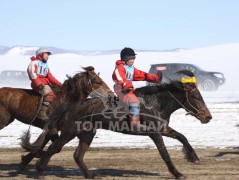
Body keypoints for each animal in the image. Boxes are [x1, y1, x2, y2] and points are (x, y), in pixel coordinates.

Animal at [22, 70, 213, 179]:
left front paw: (194, 157)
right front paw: (178, 173)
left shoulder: (163, 128)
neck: (155, 103)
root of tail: (70, 105)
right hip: (70, 132)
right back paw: (39, 171)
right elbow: (164, 153)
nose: (208, 117)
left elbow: (182, 137)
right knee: (54, 148)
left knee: (77, 155)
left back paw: (90, 175)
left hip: (87, 133)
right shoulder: (154, 133)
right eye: (195, 96)